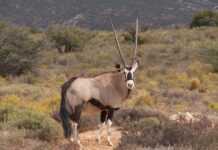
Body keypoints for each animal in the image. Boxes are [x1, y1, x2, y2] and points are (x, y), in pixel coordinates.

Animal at [59, 17, 140, 148]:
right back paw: (79, 144)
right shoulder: (111, 109)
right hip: (77, 108)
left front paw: (98, 140)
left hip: (70, 108)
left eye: (133, 71)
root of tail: (69, 83)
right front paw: (109, 142)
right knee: (75, 123)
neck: (115, 84)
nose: (130, 84)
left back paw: (71, 140)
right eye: (124, 72)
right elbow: (109, 125)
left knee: (71, 122)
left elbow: (101, 124)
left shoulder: (103, 109)